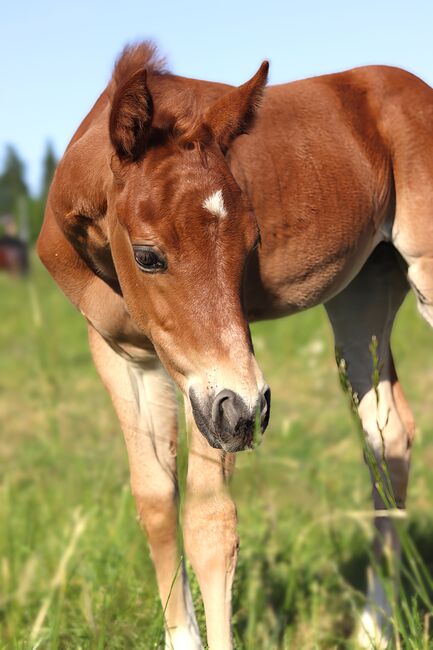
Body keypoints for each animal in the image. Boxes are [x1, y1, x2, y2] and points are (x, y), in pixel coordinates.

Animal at [36, 43, 432, 644]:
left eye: (254, 242)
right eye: (148, 255)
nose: (248, 412)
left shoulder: (215, 387)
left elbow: (209, 520)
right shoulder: (124, 355)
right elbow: (156, 499)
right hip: (363, 293)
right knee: (389, 436)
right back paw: (372, 630)